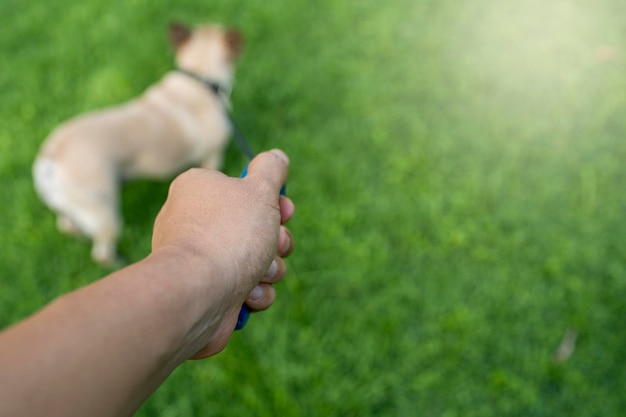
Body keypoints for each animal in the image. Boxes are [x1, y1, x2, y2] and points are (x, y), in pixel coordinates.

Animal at [31, 22, 243, 264]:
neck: (198, 76)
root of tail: (51, 155)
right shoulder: (212, 156)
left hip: (72, 207)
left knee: (67, 225)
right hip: (105, 211)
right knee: (102, 252)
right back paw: (119, 262)